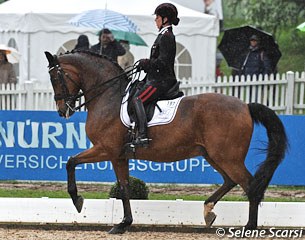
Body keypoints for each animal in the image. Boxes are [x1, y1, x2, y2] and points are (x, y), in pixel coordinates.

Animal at [44, 51, 286, 234]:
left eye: (56, 78)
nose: (63, 110)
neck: (109, 96)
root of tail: (245, 105)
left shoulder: (106, 149)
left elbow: (71, 161)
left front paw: (77, 200)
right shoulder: (119, 155)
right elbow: (124, 187)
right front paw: (124, 224)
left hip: (228, 157)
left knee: (250, 185)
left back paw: (249, 227)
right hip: (212, 155)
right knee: (231, 181)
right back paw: (208, 212)